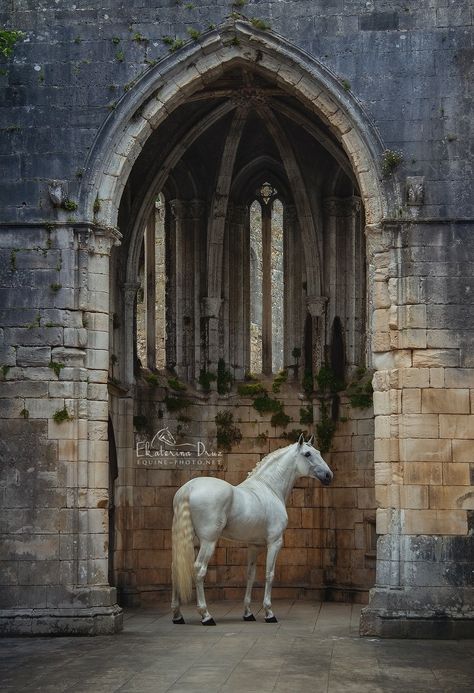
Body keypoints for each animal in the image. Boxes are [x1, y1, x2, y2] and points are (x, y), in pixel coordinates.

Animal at [171, 436, 334, 624]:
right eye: (307, 454)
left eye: (318, 452)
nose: (328, 475)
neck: (269, 488)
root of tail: (188, 488)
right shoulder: (275, 542)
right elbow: (269, 574)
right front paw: (269, 612)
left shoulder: (254, 545)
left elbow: (250, 575)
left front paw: (248, 613)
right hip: (208, 542)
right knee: (199, 569)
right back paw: (206, 615)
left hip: (191, 540)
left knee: (176, 568)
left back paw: (177, 615)